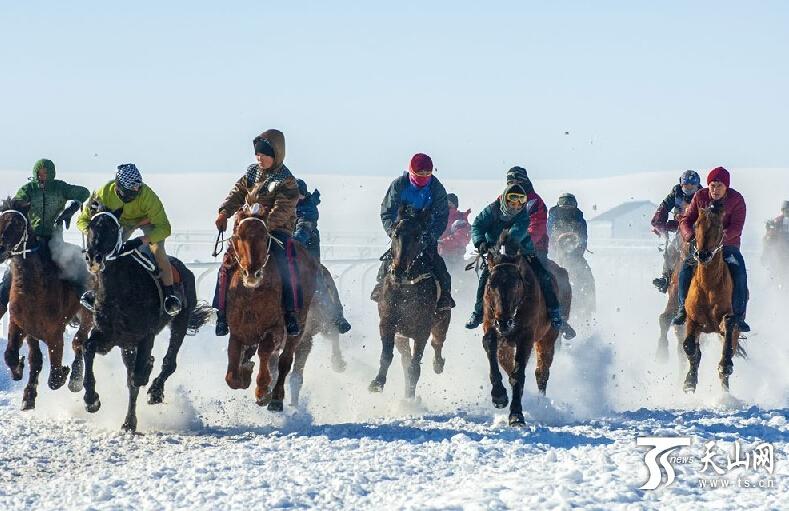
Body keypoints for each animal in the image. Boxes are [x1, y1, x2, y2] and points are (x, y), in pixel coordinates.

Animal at [0, 198, 92, 410]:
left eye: (17, 223)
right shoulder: (20, 325)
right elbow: (15, 355)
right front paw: (21, 375)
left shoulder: (54, 334)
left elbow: (55, 377)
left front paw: (65, 374)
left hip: (87, 316)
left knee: (79, 342)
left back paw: (75, 379)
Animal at [80, 204, 211, 432]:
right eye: (90, 226)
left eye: (113, 228)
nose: (94, 257)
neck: (121, 290)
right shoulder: (106, 335)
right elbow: (88, 349)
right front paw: (91, 400)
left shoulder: (145, 336)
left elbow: (137, 378)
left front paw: (129, 420)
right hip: (127, 344)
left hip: (180, 320)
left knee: (169, 362)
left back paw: (156, 391)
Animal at [222, 203, 318, 412]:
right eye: (238, 236)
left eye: (265, 236)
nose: (252, 273)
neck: (252, 296)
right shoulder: (237, 332)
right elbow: (232, 375)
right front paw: (246, 371)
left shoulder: (275, 329)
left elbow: (266, 352)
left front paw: (262, 391)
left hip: (298, 329)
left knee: (284, 362)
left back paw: (275, 399)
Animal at [368, 207, 450, 400]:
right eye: (395, 234)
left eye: (418, 236)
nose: (398, 270)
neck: (407, 287)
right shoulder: (388, 324)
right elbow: (387, 357)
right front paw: (377, 382)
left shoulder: (422, 331)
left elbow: (414, 368)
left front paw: (410, 399)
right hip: (402, 337)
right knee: (405, 359)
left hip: (441, 322)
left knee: (437, 343)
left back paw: (438, 364)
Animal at [480, 232, 568, 428]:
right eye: (490, 284)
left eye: (516, 284)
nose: (504, 322)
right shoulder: (491, 325)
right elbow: (490, 348)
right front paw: (499, 395)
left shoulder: (526, 337)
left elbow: (518, 374)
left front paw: (516, 415)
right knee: (506, 363)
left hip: (548, 337)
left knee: (541, 372)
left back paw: (542, 405)